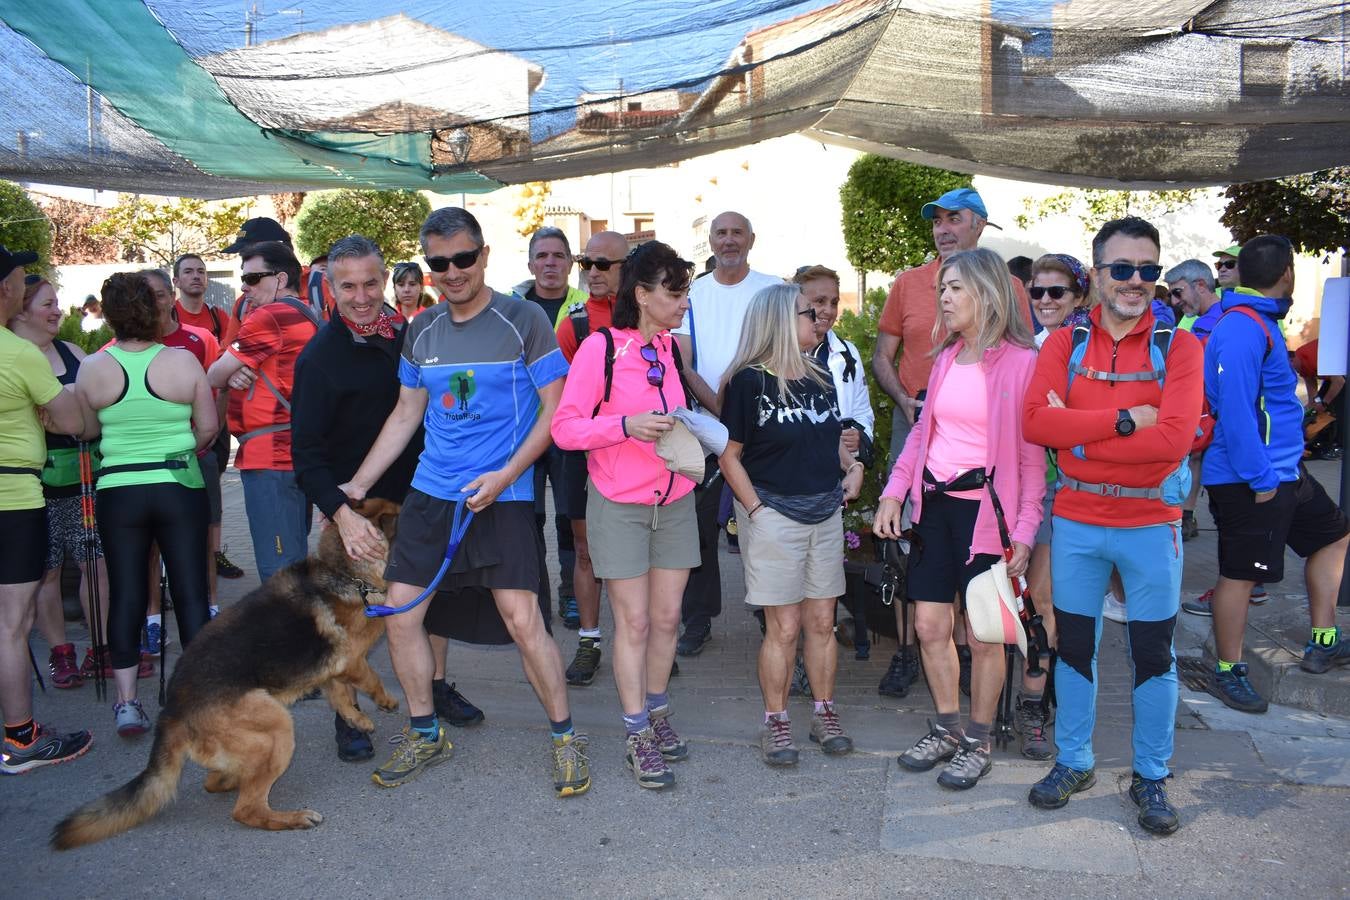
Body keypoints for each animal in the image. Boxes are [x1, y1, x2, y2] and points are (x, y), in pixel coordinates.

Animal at [55, 496, 399, 847]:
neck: (345, 572)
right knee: (246, 809)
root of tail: (172, 713)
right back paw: (292, 816)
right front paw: (385, 701)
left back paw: (234, 777)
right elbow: (369, 678)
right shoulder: (350, 657)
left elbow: (341, 697)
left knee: (216, 782)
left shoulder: (331, 667)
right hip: (276, 725)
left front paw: (357, 720)